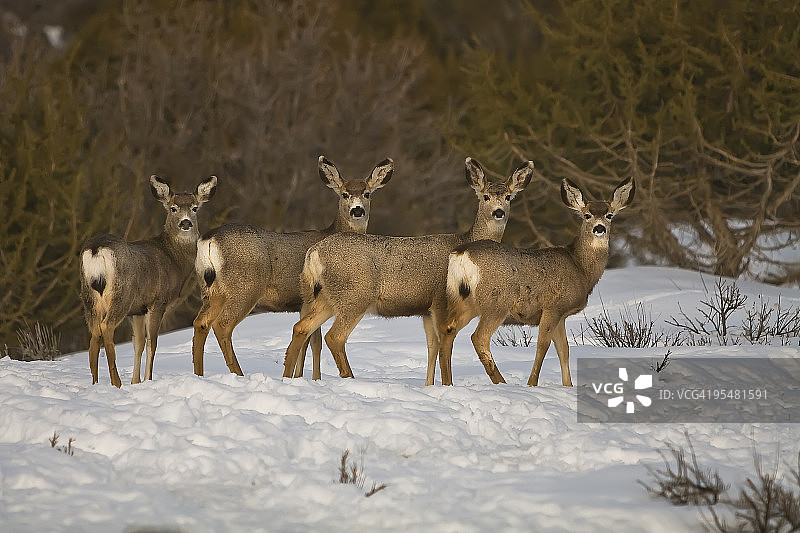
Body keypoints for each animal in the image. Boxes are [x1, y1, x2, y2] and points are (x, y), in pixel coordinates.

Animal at [80, 175, 218, 387]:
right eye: (173, 208)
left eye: (195, 207)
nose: (186, 223)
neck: (173, 259)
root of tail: (96, 249)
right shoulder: (158, 302)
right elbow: (152, 343)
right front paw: (147, 379)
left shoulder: (138, 310)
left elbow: (138, 344)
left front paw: (135, 382)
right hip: (121, 295)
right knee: (106, 327)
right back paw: (116, 382)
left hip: (88, 297)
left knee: (94, 335)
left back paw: (95, 383)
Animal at [191, 156, 393, 378]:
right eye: (344, 194)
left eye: (367, 193)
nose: (357, 210)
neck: (330, 232)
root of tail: (209, 240)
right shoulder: (308, 298)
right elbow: (312, 342)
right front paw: (306, 378)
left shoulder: (304, 302)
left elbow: (312, 342)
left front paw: (304, 378)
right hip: (245, 286)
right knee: (223, 325)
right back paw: (238, 373)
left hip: (211, 289)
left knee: (201, 323)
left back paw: (199, 373)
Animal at [283, 157, 534, 384]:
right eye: (485, 196)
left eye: (508, 197)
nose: (499, 212)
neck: (466, 240)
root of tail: (314, 253)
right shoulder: (441, 299)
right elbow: (443, 343)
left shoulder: (426, 309)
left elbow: (432, 347)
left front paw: (429, 385)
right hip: (354, 295)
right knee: (334, 337)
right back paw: (350, 378)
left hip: (323, 296)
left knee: (301, 328)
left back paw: (287, 376)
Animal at [436, 176, 635, 387]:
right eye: (587, 215)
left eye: (609, 215)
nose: (599, 228)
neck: (580, 268)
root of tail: (461, 254)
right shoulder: (553, 307)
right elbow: (543, 345)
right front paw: (532, 384)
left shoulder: (561, 315)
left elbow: (564, 349)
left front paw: (568, 386)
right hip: (497, 300)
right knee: (479, 337)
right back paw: (501, 382)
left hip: (462, 299)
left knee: (448, 329)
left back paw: (448, 383)